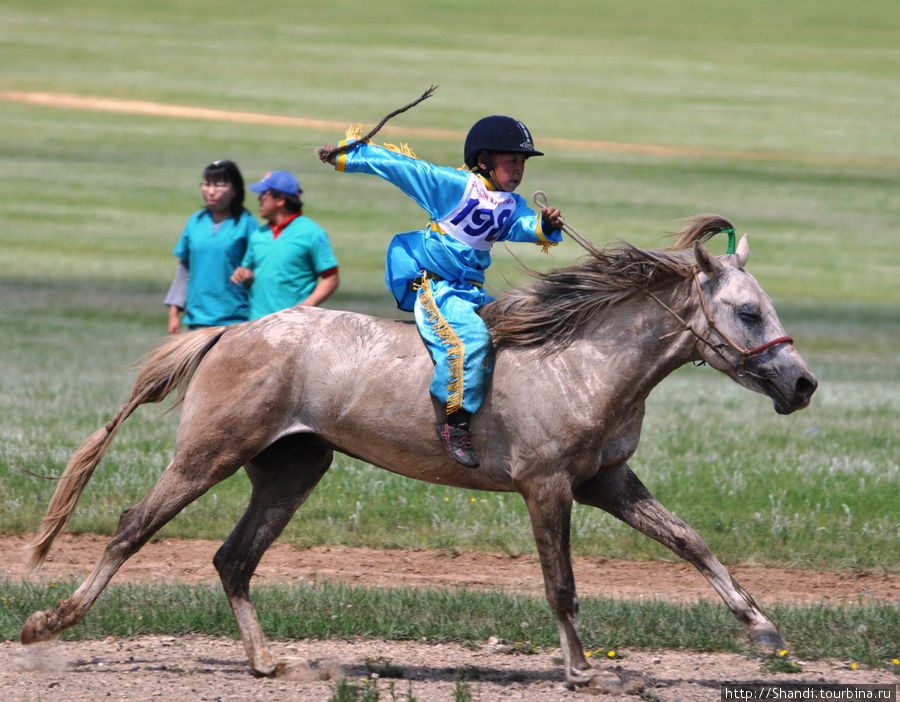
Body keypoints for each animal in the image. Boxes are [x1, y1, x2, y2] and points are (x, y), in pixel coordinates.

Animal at [24, 214, 820, 692]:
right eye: (749, 312)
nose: (803, 383)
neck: (581, 361)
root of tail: (230, 331)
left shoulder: (608, 482)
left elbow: (692, 542)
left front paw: (763, 630)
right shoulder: (549, 488)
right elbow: (561, 584)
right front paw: (583, 671)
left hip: (293, 469)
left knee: (234, 559)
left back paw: (266, 660)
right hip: (206, 456)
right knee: (132, 527)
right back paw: (49, 622)